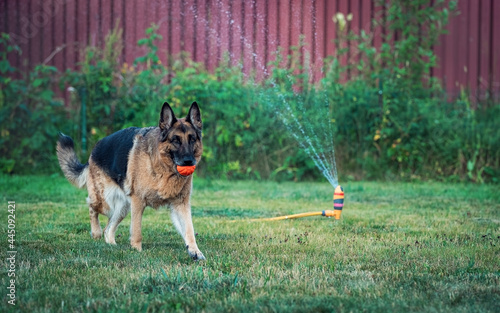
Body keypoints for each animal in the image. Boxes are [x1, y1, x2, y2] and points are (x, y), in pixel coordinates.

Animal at [54, 102, 203, 258]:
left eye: (192, 139)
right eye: (175, 140)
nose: (189, 161)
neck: (163, 168)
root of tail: (94, 150)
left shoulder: (181, 205)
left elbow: (189, 230)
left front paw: (195, 251)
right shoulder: (138, 201)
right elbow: (136, 230)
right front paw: (137, 250)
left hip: (123, 207)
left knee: (108, 228)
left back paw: (112, 245)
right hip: (105, 202)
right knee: (91, 206)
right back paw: (96, 232)